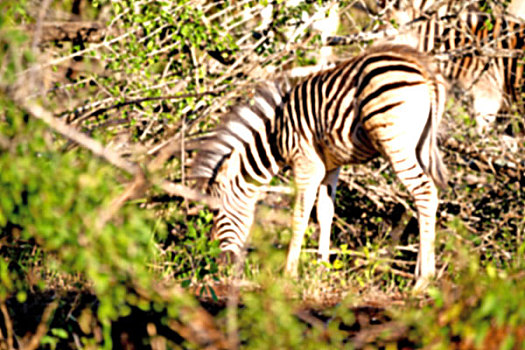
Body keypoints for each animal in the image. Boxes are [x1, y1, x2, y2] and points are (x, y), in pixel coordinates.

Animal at [192, 43, 446, 288]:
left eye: (215, 210)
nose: (216, 263)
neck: (275, 135)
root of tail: (424, 69)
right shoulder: (331, 165)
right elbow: (325, 211)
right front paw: (321, 270)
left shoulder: (305, 162)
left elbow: (300, 214)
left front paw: (289, 274)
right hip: (421, 144)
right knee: (427, 195)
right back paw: (422, 272)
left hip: (394, 142)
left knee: (424, 190)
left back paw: (423, 279)